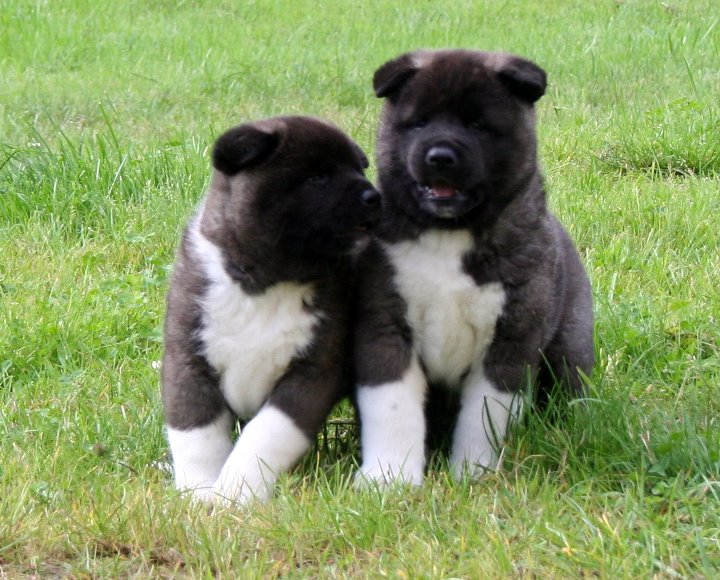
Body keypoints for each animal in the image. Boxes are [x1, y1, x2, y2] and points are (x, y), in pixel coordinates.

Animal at [161, 116, 380, 502]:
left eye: (360, 167)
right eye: (317, 177)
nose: (375, 196)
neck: (268, 283)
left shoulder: (312, 373)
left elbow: (265, 435)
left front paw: (235, 493)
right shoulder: (188, 361)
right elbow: (196, 434)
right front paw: (199, 492)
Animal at [356, 49, 596, 484]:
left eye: (478, 125)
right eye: (418, 123)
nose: (439, 157)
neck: (450, 234)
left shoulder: (510, 342)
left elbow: (484, 418)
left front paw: (473, 473)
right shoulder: (384, 328)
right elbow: (393, 409)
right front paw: (389, 478)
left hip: (570, 343)